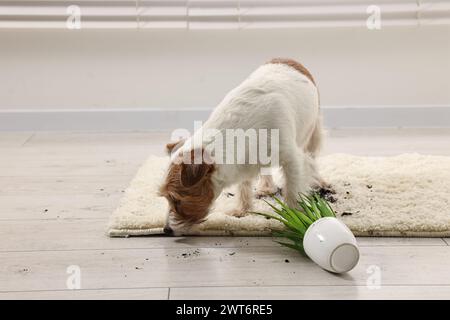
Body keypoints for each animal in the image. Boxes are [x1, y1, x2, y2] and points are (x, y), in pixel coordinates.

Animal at [160, 57, 328, 235]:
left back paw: (317, 180)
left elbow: (293, 190)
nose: (166, 230)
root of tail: (286, 59)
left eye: (176, 200)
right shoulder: (244, 161)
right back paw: (266, 186)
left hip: (314, 131)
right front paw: (242, 210)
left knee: (312, 157)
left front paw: (295, 217)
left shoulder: (292, 160)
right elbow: (244, 186)